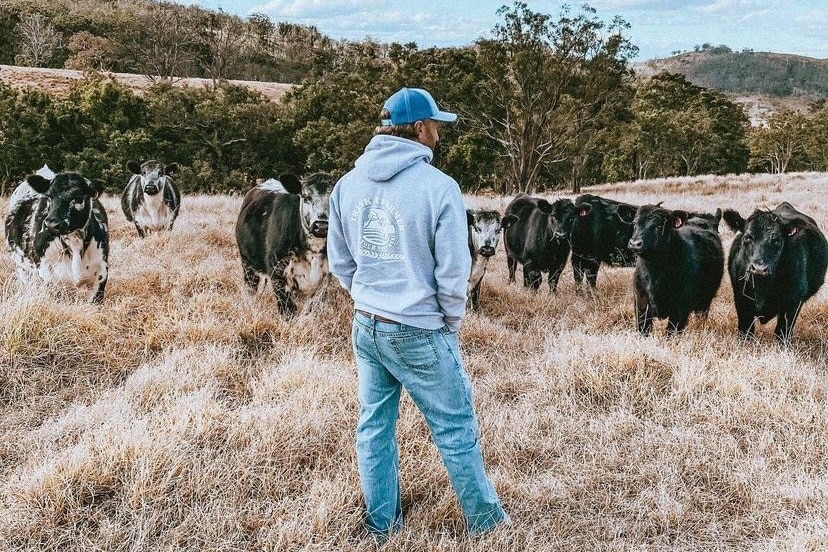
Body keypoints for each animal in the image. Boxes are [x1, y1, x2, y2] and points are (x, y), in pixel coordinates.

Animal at [5, 165, 110, 302]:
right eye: (49, 197)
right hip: (22, 268)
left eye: (79, 198)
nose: (51, 224)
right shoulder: (48, 276)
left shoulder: (101, 274)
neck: (74, 244)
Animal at [632, 205, 720, 336]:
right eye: (634, 224)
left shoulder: (680, 307)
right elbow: (643, 328)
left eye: (659, 226)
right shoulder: (641, 302)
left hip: (705, 300)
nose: (635, 243)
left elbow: (672, 331)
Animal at [720, 201, 824, 342]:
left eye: (776, 240)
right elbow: (746, 329)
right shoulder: (741, 297)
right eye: (747, 238)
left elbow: (782, 332)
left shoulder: (793, 302)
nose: (759, 268)